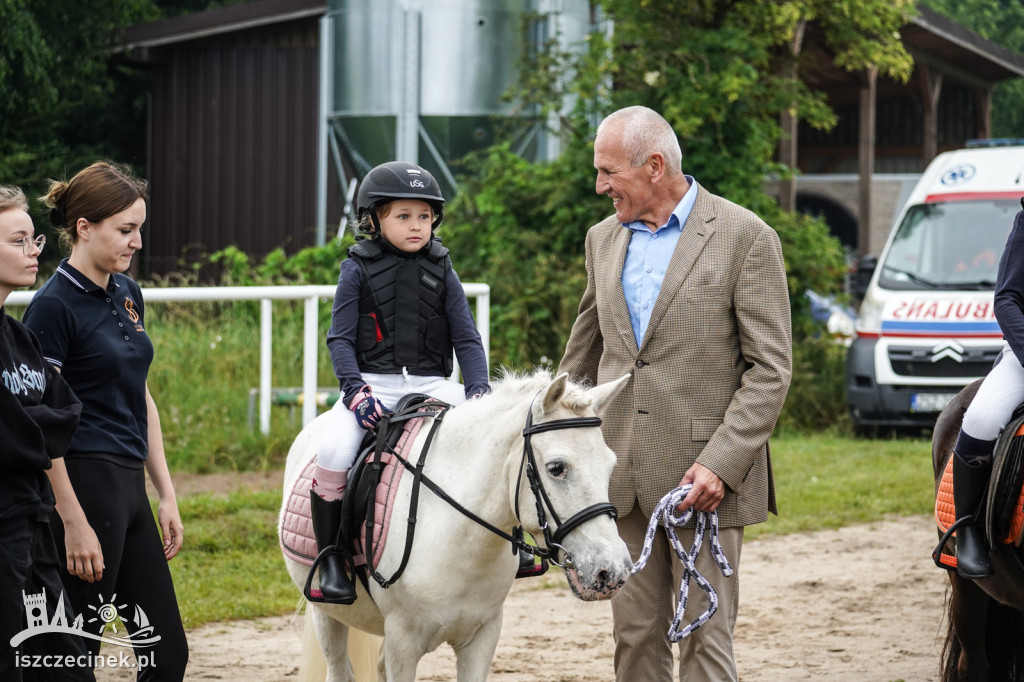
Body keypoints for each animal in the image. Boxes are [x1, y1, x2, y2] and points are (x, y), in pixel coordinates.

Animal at [280, 368, 630, 679]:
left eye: (612, 466)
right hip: (326, 613)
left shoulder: (482, 637)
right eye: (556, 468)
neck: (462, 540)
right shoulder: (402, 643)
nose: (612, 571)